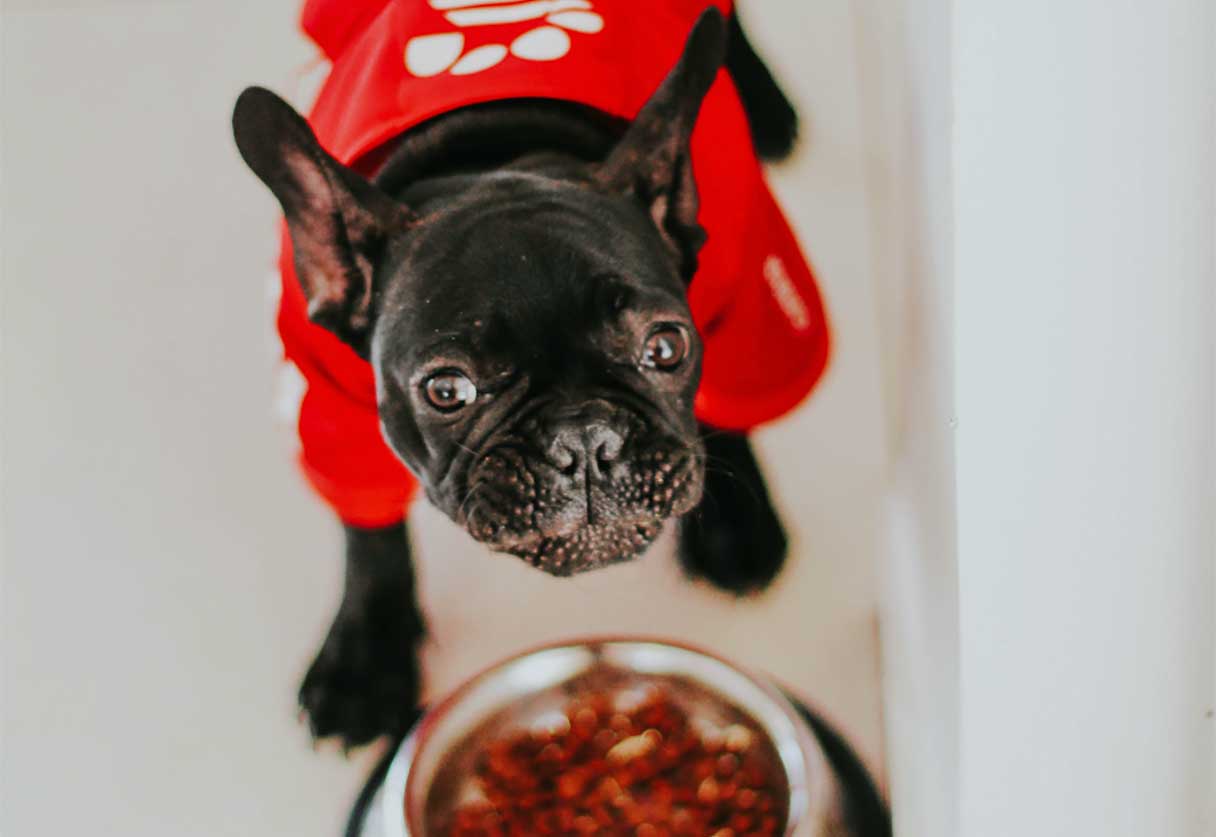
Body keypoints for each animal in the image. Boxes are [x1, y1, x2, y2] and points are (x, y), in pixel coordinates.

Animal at [231, 11, 792, 744]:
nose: (586, 440)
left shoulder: (747, 300)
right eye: (446, 390)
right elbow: (370, 534)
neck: (494, 159)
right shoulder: (327, 401)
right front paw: (365, 657)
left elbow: (733, 404)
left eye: (667, 347)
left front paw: (739, 521)